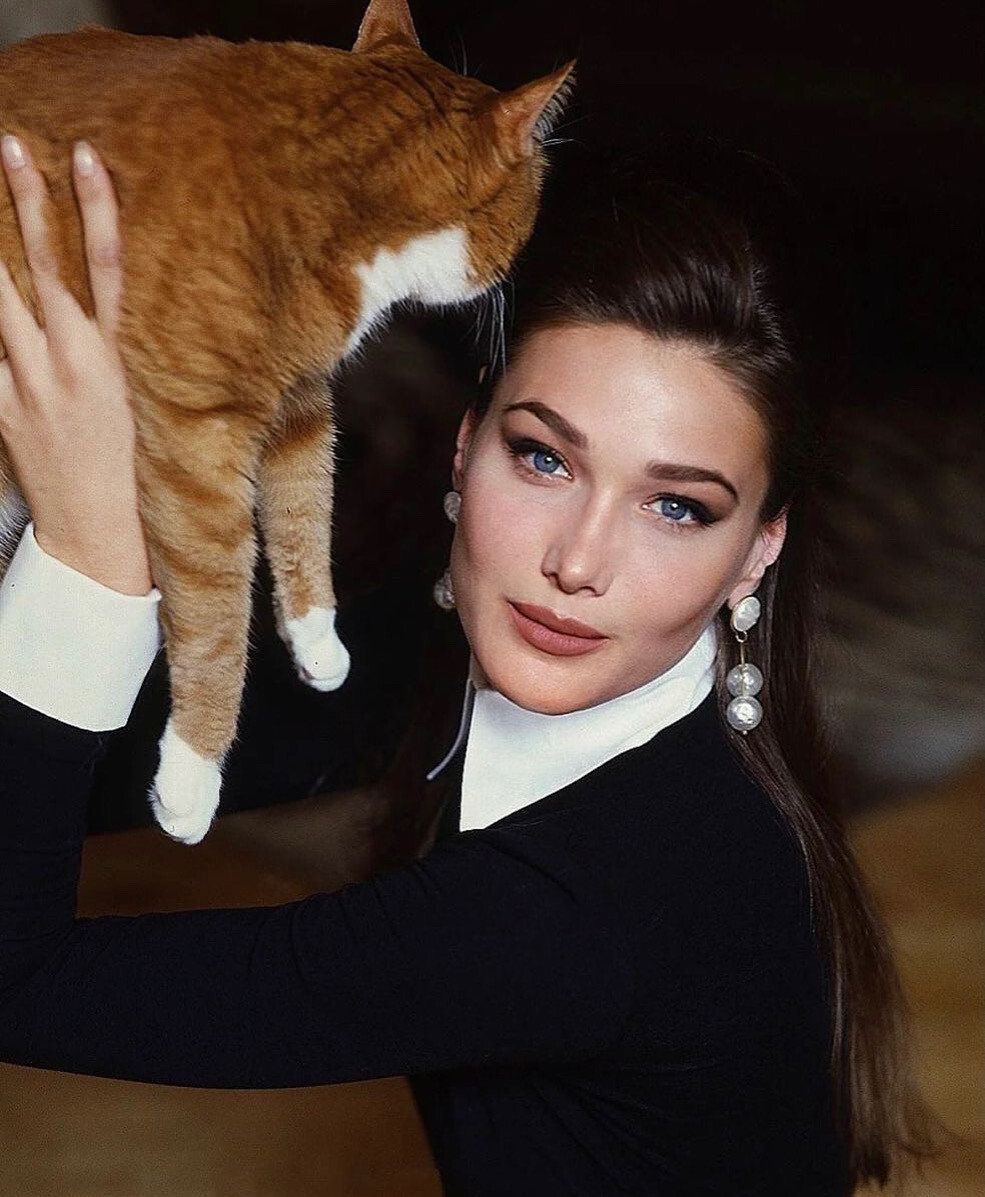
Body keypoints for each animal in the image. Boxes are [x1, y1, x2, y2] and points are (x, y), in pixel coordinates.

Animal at [0, 0, 573, 844]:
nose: (510, 283)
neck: (329, 170)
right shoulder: (197, 436)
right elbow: (217, 606)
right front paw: (192, 775)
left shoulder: (299, 401)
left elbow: (307, 508)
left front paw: (318, 640)